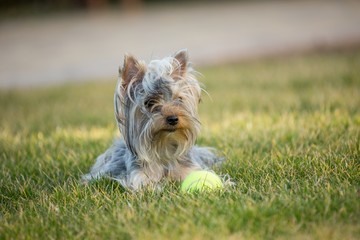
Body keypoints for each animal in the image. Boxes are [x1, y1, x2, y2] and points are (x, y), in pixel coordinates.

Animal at [83, 49, 224, 190]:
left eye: (179, 99)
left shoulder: (189, 169)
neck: (164, 146)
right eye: (149, 102)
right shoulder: (139, 178)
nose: (173, 119)